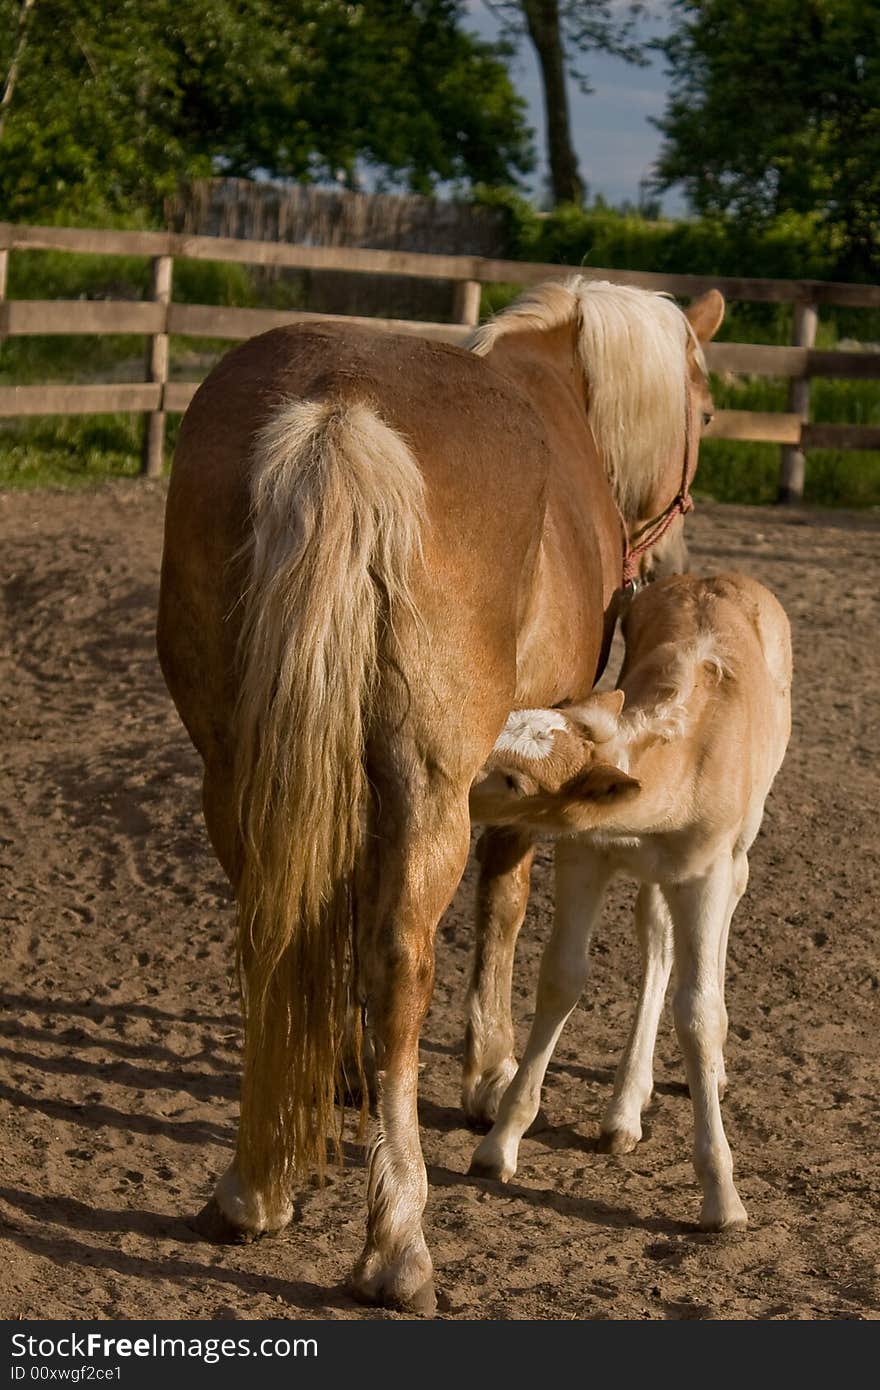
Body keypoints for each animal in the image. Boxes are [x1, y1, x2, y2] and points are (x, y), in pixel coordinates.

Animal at [156, 273, 722, 1312]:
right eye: (703, 413)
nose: (666, 564)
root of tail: (336, 413)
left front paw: (335, 1074)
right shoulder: (515, 765)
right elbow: (503, 903)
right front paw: (488, 1073)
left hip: (237, 767)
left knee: (270, 933)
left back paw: (254, 1186)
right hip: (431, 788)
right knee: (400, 964)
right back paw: (397, 1241)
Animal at [467, 572, 789, 1228]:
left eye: (515, 781)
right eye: (505, 720)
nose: (454, 772)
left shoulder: (707, 872)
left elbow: (699, 1014)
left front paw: (723, 1199)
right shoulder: (585, 856)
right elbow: (562, 980)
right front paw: (499, 1146)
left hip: (741, 839)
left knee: (718, 917)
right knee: (655, 933)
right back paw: (625, 1109)